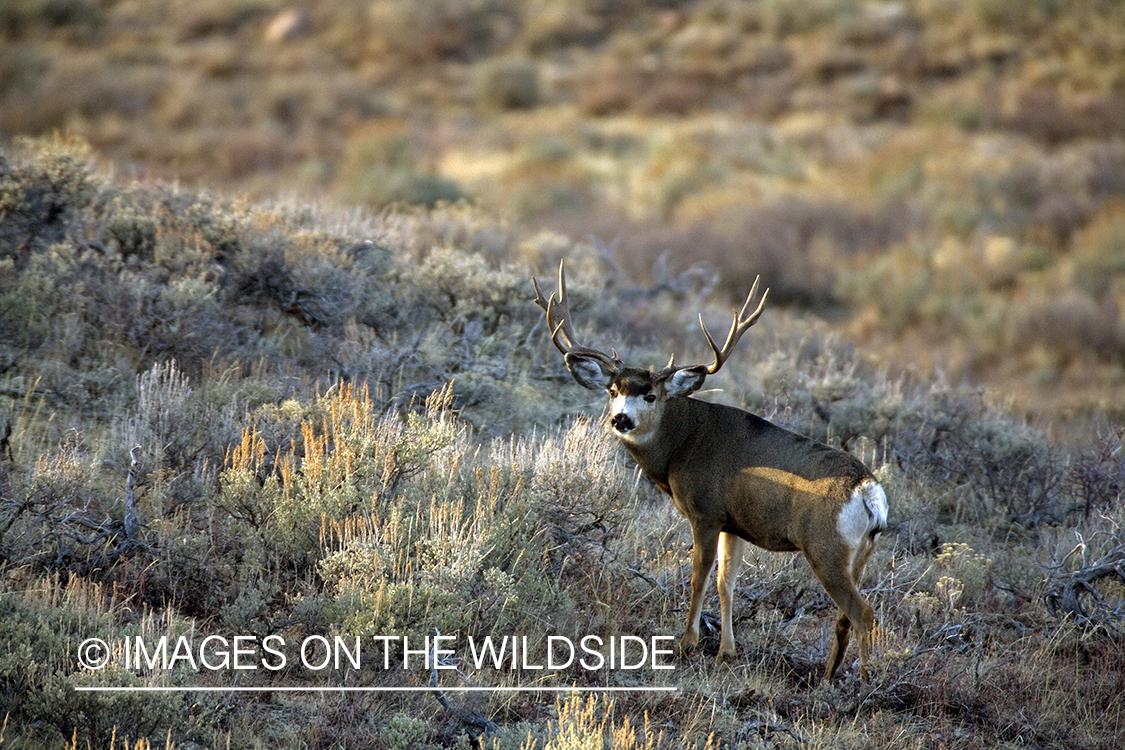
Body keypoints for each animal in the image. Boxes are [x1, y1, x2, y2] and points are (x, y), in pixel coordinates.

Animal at [532, 262, 888, 682]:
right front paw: (726, 652)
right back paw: (829, 676)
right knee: (845, 616)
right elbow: (726, 584)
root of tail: (868, 491)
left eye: (650, 395)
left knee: (862, 612)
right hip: (859, 552)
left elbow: (698, 577)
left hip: (825, 546)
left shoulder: (704, 511)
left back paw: (864, 682)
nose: (621, 419)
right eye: (613, 391)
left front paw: (687, 643)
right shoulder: (734, 523)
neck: (681, 446)